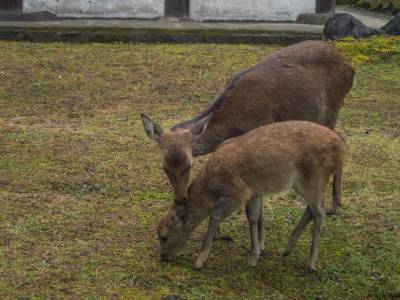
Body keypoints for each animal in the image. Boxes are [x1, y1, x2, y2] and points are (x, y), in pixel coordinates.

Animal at [142, 40, 354, 216]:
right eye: (164, 167)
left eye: (188, 165)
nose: (179, 199)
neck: (234, 123)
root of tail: (350, 67)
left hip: (331, 110)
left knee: (339, 137)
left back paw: (334, 206)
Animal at [156, 120, 346, 270]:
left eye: (164, 236)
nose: (163, 257)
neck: (212, 187)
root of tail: (342, 149)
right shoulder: (254, 192)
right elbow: (253, 217)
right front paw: (255, 255)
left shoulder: (237, 193)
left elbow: (215, 217)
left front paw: (199, 261)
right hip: (302, 184)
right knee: (311, 209)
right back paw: (287, 249)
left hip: (315, 177)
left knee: (319, 212)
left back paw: (310, 263)